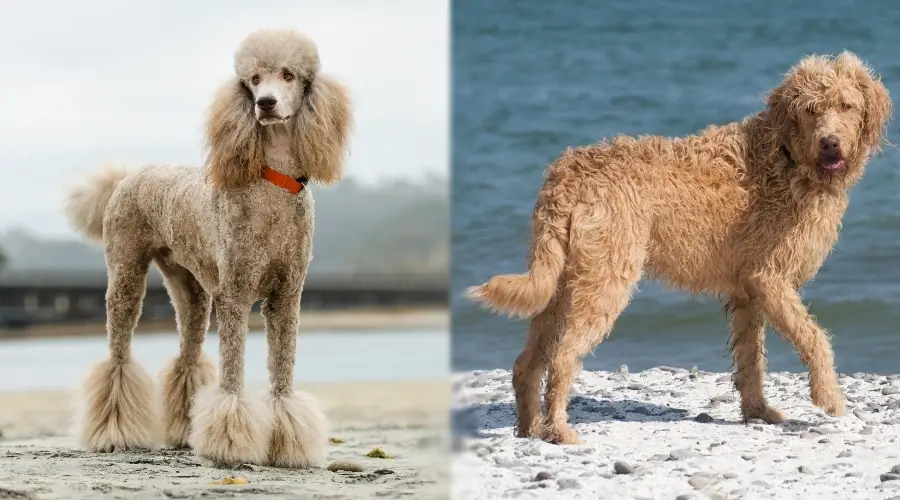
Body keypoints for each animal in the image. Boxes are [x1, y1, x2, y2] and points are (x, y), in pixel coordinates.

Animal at [63, 27, 350, 466]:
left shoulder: (286, 297)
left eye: (288, 75)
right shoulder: (235, 293)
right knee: (118, 358)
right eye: (252, 80)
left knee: (187, 357)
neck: (272, 183)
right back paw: (114, 433)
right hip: (126, 272)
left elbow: (283, 375)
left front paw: (287, 444)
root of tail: (128, 176)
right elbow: (232, 375)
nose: (265, 104)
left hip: (190, 288)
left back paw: (184, 430)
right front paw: (230, 442)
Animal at [472, 52, 892, 444]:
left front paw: (757, 411)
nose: (830, 143)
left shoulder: (748, 293)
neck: (786, 156)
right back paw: (559, 430)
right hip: (605, 280)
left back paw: (529, 429)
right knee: (561, 359)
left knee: (527, 363)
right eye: (811, 109)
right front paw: (829, 397)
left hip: (561, 283)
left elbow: (751, 359)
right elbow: (815, 338)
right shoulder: (769, 279)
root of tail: (569, 172)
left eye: (847, 106)